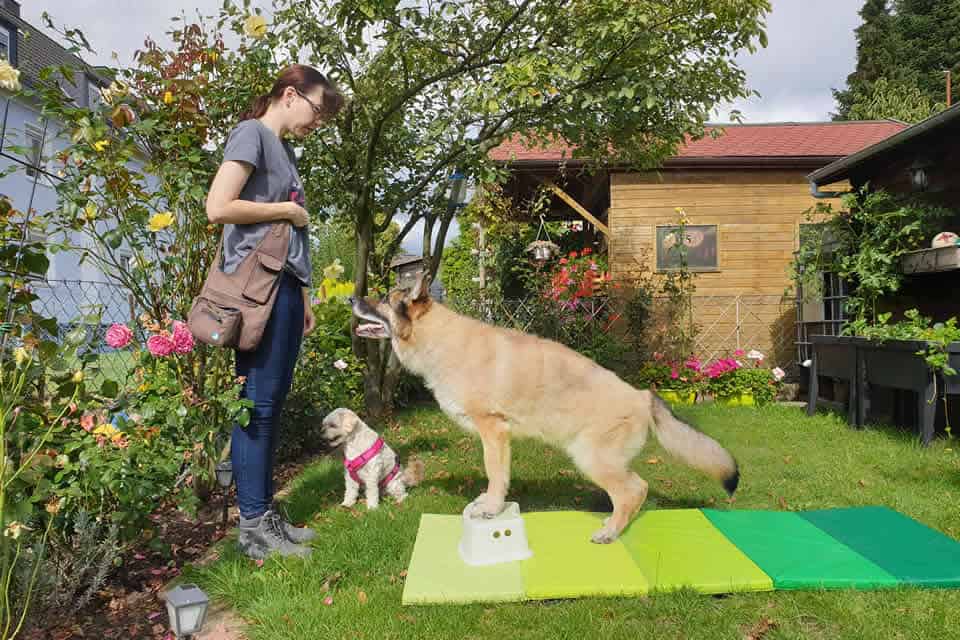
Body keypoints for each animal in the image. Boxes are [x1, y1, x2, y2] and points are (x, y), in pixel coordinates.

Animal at [348, 272, 740, 544]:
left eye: (383, 299)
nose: (351, 297)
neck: (439, 340)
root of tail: (642, 395)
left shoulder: (493, 432)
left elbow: (495, 475)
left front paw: (491, 508)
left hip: (591, 458)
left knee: (634, 490)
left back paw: (610, 532)